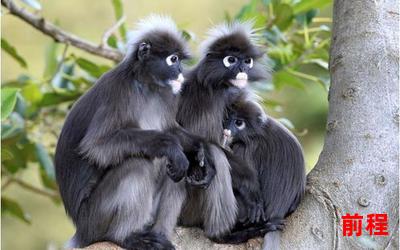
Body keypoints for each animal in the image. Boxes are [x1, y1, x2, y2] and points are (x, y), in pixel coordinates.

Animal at [55, 16, 216, 250]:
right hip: (95, 219)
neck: (147, 86)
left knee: (176, 171)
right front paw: (169, 145)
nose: (179, 72)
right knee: (138, 164)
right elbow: (96, 146)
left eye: (179, 60)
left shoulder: (168, 94)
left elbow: (172, 130)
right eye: (173, 59)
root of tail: (80, 231)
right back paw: (125, 237)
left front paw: (201, 150)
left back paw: (160, 236)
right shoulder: (118, 93)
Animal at [216, 94, 306, 248]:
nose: (227, 129)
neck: (257, 131)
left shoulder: (249, 147)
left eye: (238, 123)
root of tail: (277, 212)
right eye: (227, 118)